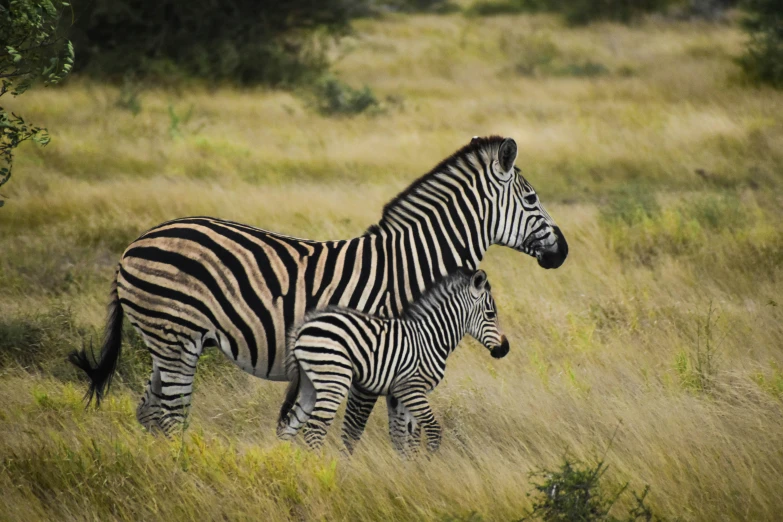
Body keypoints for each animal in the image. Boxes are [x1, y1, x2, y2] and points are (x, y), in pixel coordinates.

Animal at [278, 268, 512, 450]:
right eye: (490, 315)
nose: (505, 349)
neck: (431, 337)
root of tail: (304, 326)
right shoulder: (411, 389)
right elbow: (433, 431)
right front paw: (427, 469)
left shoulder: (407, 394)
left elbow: (407, 440)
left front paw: (412, 472)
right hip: (334, 379)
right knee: (314, 430)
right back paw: (320, 468)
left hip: (310, 383)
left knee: (290, 426)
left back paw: (293, 466)